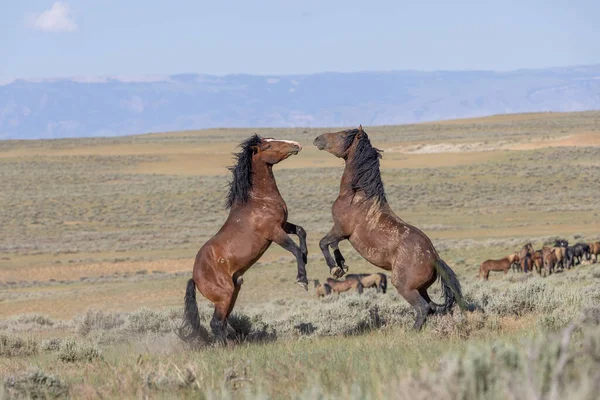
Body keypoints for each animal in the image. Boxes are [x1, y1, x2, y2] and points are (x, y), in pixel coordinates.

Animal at [180, 134, 308, 344]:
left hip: (234, 292)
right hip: (224, 295)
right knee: (216, 323)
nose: (296, 145)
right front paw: (302, 279)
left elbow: (301, 231)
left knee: (223, 322)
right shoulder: (274, 232)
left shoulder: (283, 225)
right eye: (268, 146)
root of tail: (195, 278)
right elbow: (294, 249)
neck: (258, 200)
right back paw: (227, 346)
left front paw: (306, 257)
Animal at [314, 126, 474, 330]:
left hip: (405, 287)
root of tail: (435, 259)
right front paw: (341, 266)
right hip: (421, 288)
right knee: (430, 307)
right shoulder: (341, 233)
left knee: (423, 308)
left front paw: (335, 269)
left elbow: (323, 243)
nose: (318, 138)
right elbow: (333, 245)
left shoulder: (340, 229)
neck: (357, 196)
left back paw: (412, 332)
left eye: (343, 135)